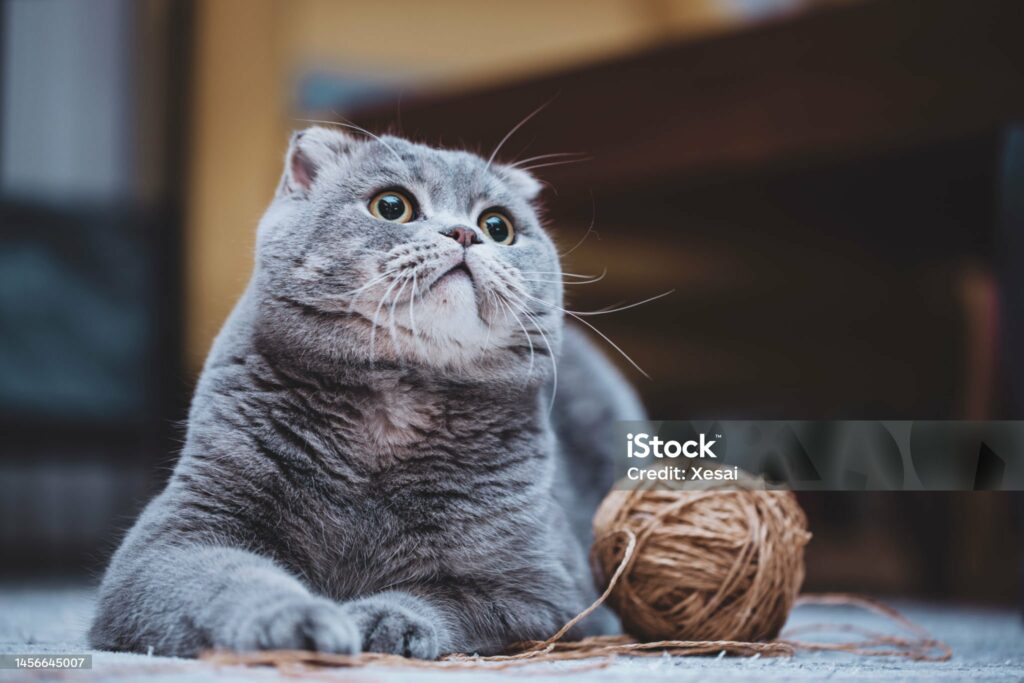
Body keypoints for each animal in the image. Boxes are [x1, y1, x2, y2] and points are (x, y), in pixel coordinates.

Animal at [90, 125, 647, 659]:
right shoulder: (177, 535)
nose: (466, 233)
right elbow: (234, 578)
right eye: (392, 206)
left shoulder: (542, 586)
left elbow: (443, 597)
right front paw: (303, 622)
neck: (394, 409)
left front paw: (382, 620)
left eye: (497, 226)